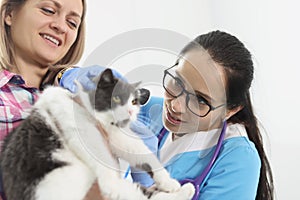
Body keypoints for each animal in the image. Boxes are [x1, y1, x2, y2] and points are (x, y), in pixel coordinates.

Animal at [0, 69, 195, 200]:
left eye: (134, 102)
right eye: (116, 98)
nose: (130, 112)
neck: (102, 123)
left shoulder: (117, 137)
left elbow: (144, 154)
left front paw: (168, 182)